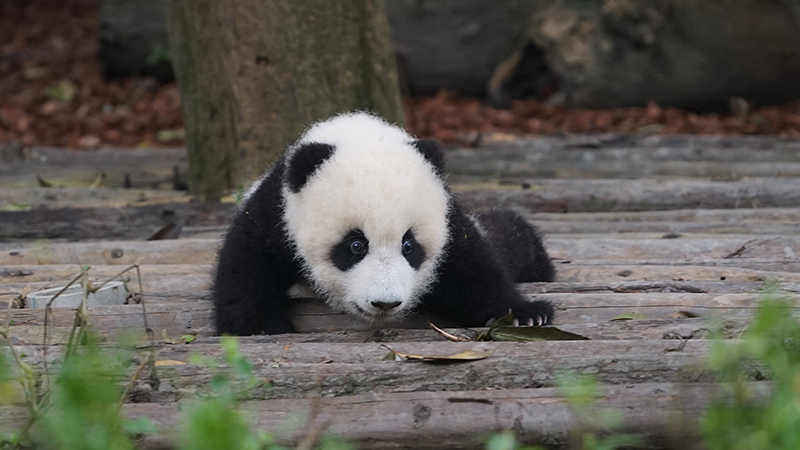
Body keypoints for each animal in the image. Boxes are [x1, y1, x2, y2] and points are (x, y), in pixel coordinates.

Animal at [213, 112, 555, 335]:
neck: (359, 136)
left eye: (409, 246)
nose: (385, 302)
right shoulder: (279, 209)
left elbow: (474, 271)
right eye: (356, 245)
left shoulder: (447, 216)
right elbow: (248, 259)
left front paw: (525, 314)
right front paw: (261, 326)